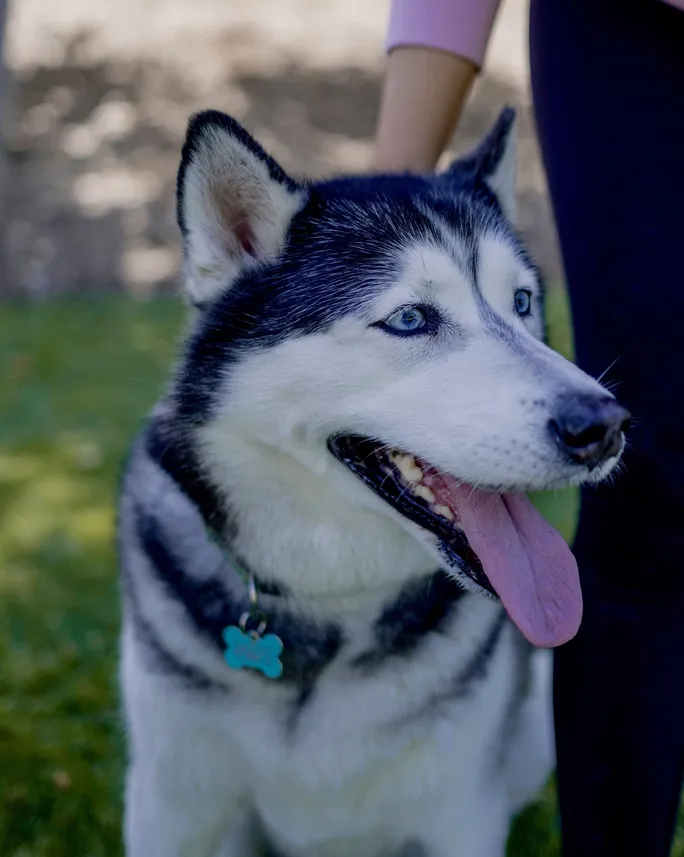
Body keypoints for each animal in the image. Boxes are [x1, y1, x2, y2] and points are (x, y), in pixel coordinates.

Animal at [116, 107, 624, 856]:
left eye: (522, 302)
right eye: (410, 318)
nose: (605, 427)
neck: (336, 599)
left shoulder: (463, 814)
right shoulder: (170, 804)